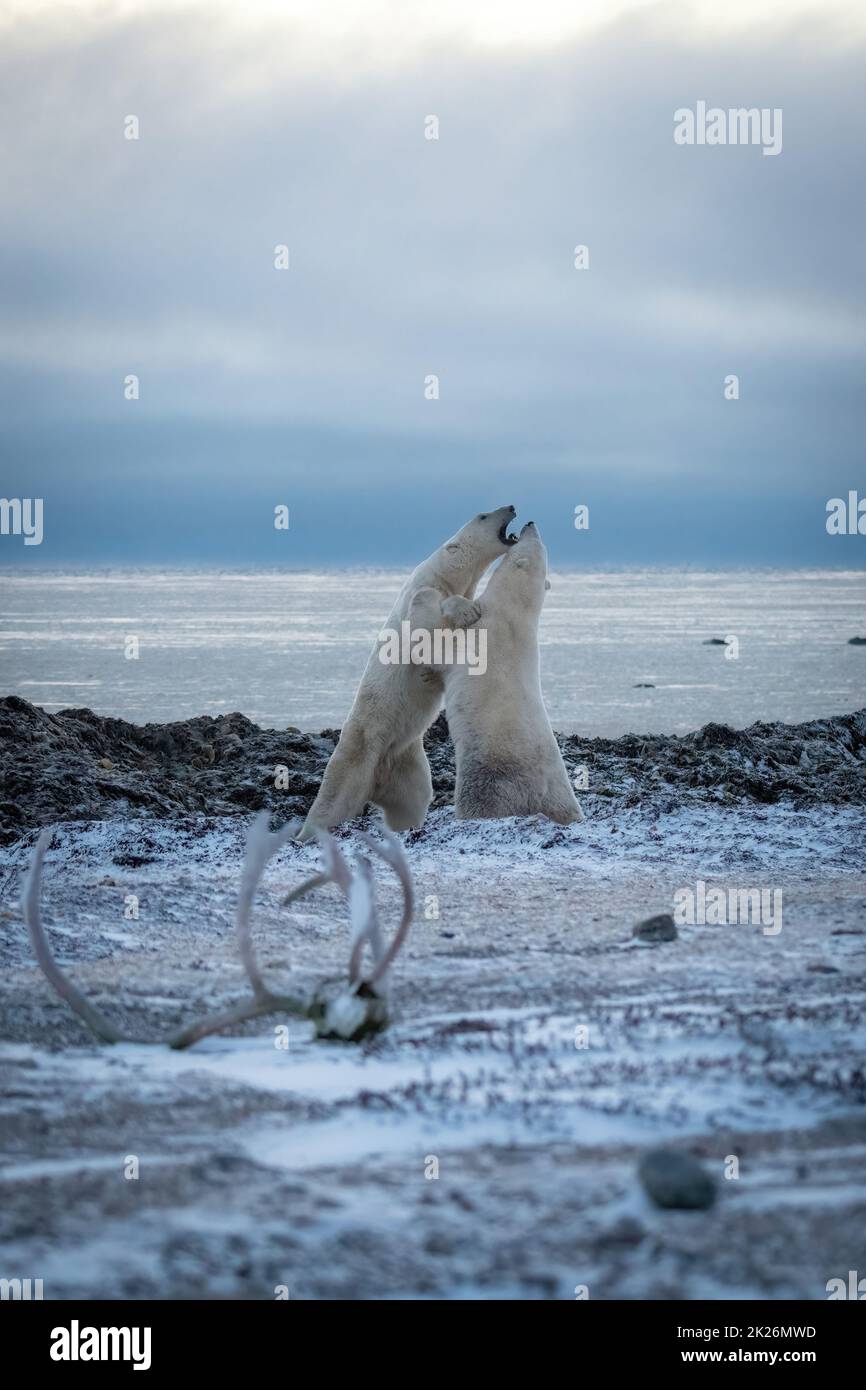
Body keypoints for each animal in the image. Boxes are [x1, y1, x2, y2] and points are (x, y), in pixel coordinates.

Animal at [297, 505, 517, 839]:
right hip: (360, 749)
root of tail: (376, 779)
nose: (511, 507)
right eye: (483, 516)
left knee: (413, 798)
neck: (441, 573)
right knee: (333, 800)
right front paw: (466, 611)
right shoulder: (420, 595)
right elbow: (424, 631)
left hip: (404, 759)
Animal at [408, 522, 586, 822]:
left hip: (490, 780)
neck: (513, 612)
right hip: (560, 795)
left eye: (536, 540)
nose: (531, 523)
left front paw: (428, 599)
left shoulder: (479, 637)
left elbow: (434, 642)